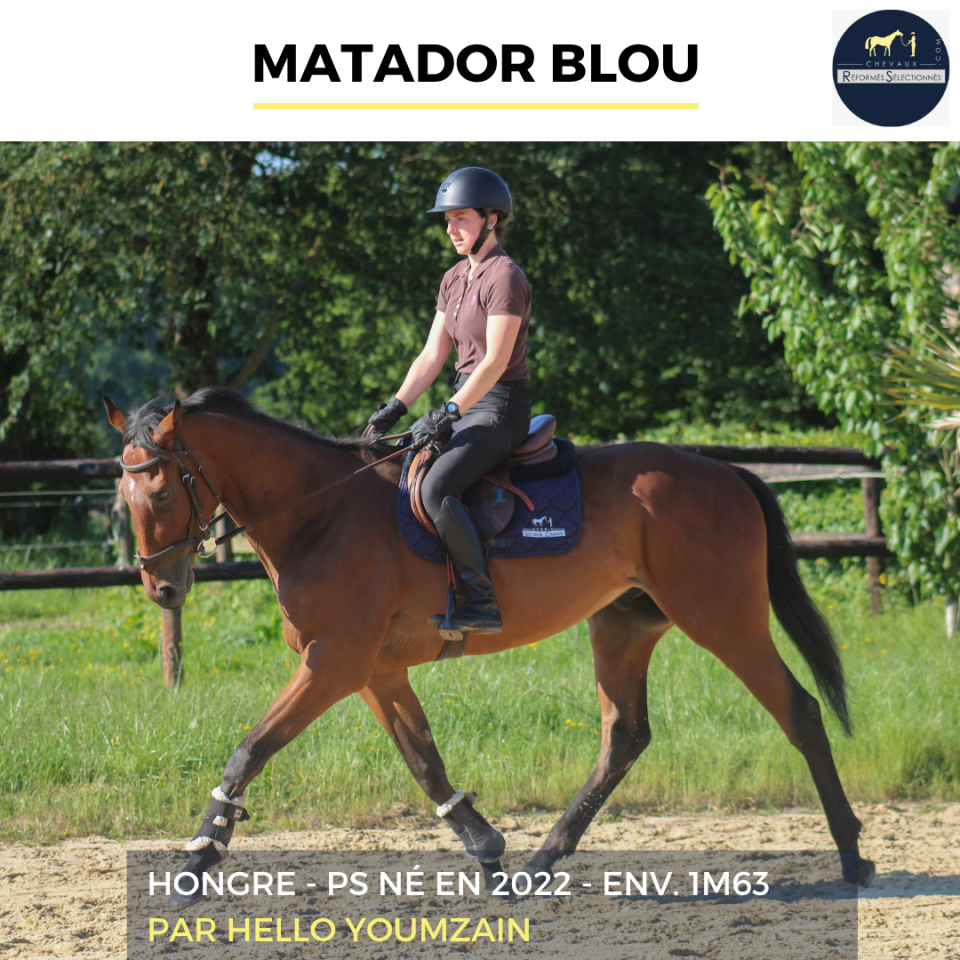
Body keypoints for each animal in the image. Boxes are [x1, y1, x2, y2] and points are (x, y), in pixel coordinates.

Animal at [103, 387, 876, 906]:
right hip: (623, 625)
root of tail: (724, 472)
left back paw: (852, 857)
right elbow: (425, 764)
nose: (162, 589)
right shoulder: (374, 671)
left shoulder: (331, 663)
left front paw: (197, 860)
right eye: (122, 495)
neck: (322, 513)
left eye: (163, 492)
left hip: (722, 619)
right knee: (624, 736)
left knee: (800, 712)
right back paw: (540, 863)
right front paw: (489, 853)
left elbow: (249, 750)